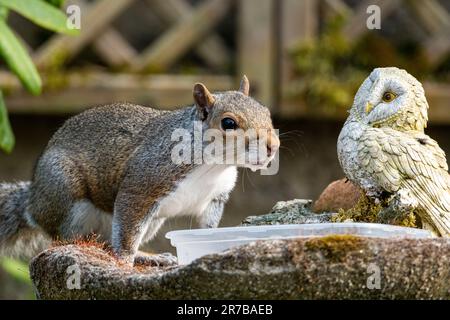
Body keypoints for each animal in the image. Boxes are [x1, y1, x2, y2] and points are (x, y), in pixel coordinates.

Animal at [0, 76, 280, 266]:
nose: (272, 146)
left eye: (267, 113)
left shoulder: (214, 199)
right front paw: (124, 262)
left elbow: (206, 229)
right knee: (65, 238)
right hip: (66, 195)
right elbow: (126, 232)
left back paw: (148, 256)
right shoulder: (142, 187)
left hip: (152, 222)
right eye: (228, 123)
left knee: (108, 241)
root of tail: (32, 199)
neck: (213, 167)